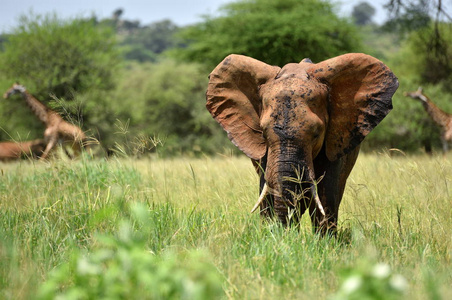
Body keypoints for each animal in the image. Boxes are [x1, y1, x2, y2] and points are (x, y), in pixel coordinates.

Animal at [207, 52, 398, 233]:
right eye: (263, 133)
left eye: (316, 134)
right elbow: (267, 190)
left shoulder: (334, 140)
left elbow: (326, 193)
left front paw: (324, 242)